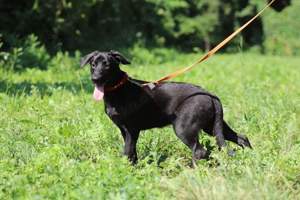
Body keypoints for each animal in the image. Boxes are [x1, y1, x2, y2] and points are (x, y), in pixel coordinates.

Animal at [81, 50, 252, 164]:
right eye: (93, 64)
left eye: (107, 66)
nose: (95, 79)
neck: (118, 89)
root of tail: (209, 94)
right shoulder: (126, 131)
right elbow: (132, 152)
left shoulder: (131, 130)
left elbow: (127, 152)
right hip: (213, 126)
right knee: (241, 137)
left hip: (184, 128)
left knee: (200, 151)